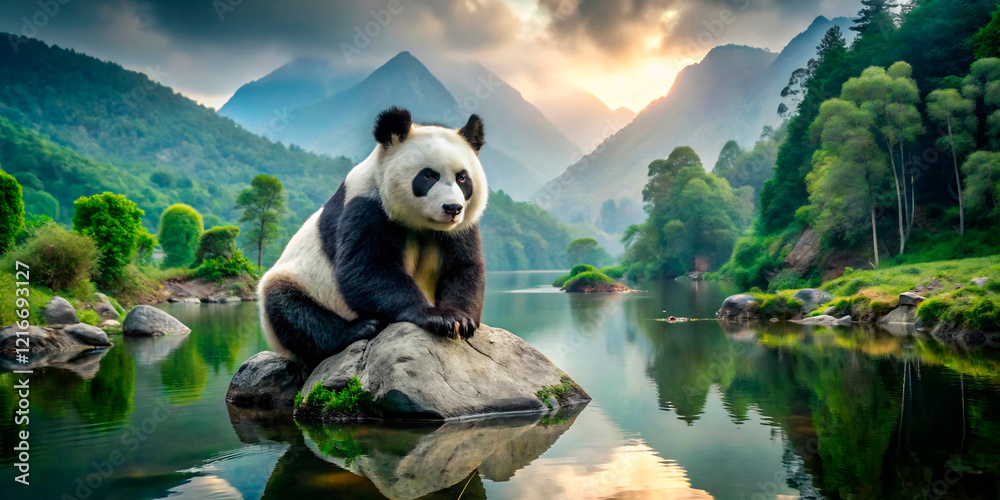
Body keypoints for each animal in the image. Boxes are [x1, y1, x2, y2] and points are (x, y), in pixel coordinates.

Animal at [258, 107, 489, 367]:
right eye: (429, 175)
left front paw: (461, 319)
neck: (423, 224)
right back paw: (358, 329)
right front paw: (438, 317)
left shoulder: (460, 228)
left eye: (463, 178)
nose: (452, 208)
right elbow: (367, 267)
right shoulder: (367, 205)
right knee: (291, 309)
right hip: (301, 282)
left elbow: (463, 267)